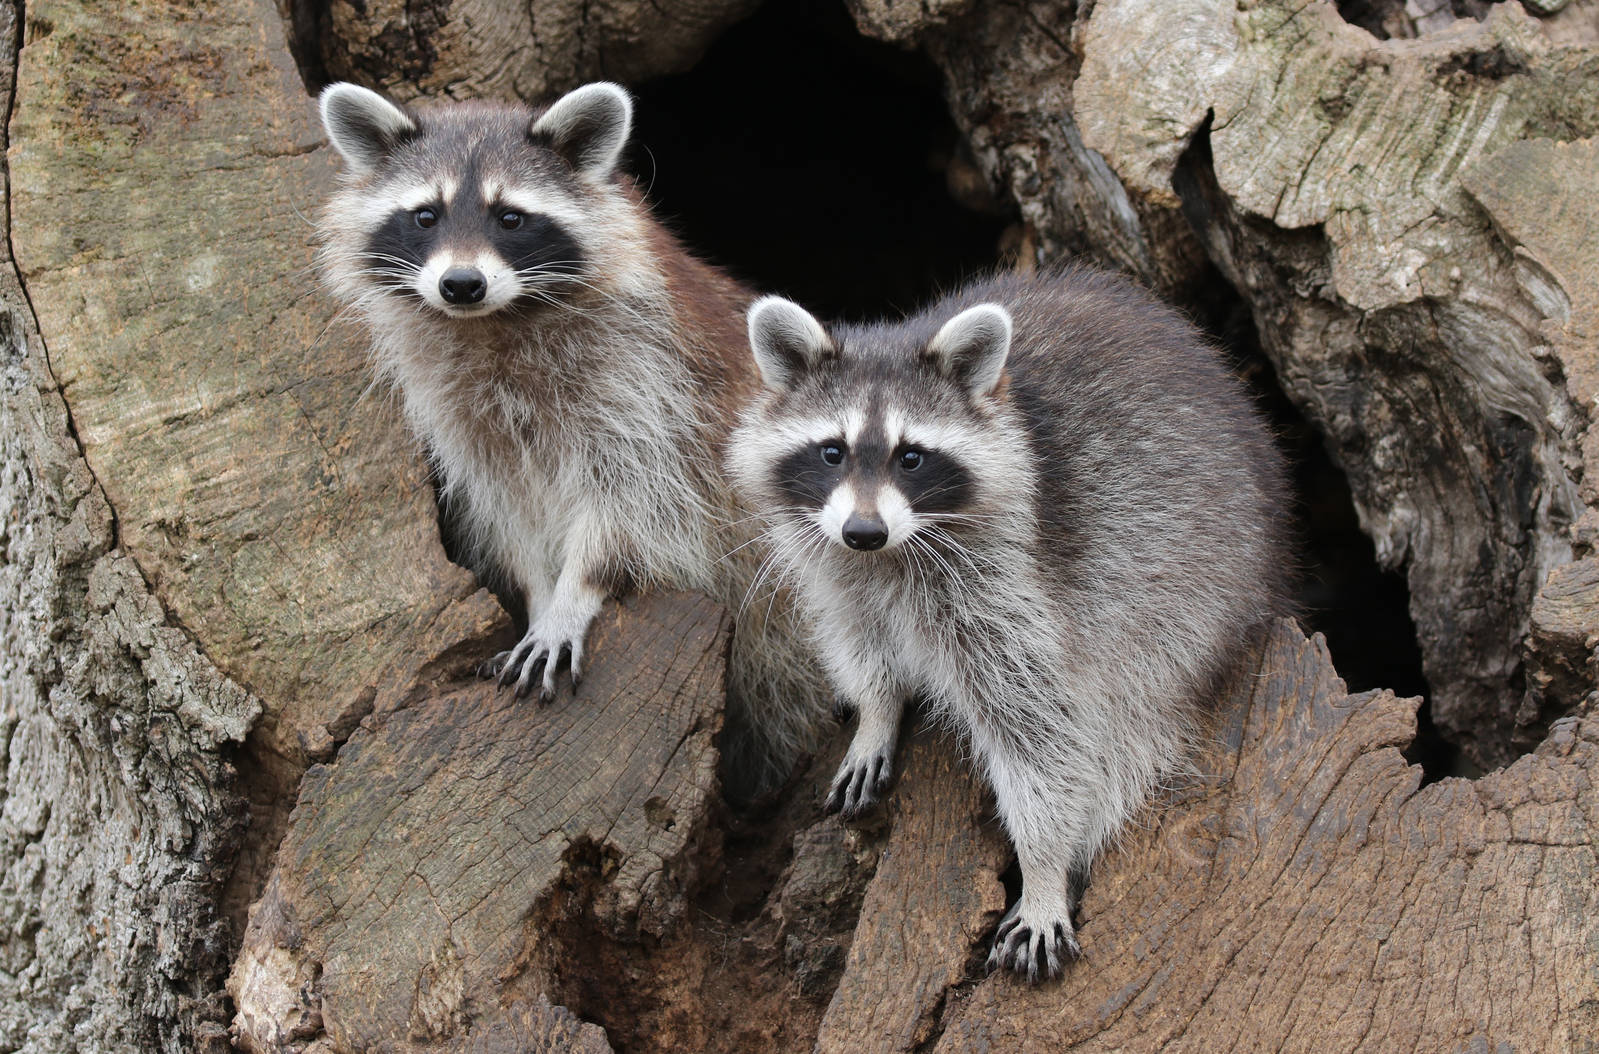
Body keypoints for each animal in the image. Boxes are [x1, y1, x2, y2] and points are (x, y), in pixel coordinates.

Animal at [316, 81, 826, 787]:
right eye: (425, 216)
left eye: (510, 218)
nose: (461, 284)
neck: (494, 322)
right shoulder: (466, 418)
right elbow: (507, 508)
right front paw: (538, 597)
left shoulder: (645, 381)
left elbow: (633, 497)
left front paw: (573, 595)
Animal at [727, 268, 1291, 980]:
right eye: (832, 452)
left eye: (911, 458)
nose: (864, 531)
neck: (891, 557)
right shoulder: (839, 569)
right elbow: (860, 638)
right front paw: (877, 710)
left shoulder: (1015, 588)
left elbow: (1045, 733)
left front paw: (1045, 869)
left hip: (1190, 595)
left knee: (1132, 723)